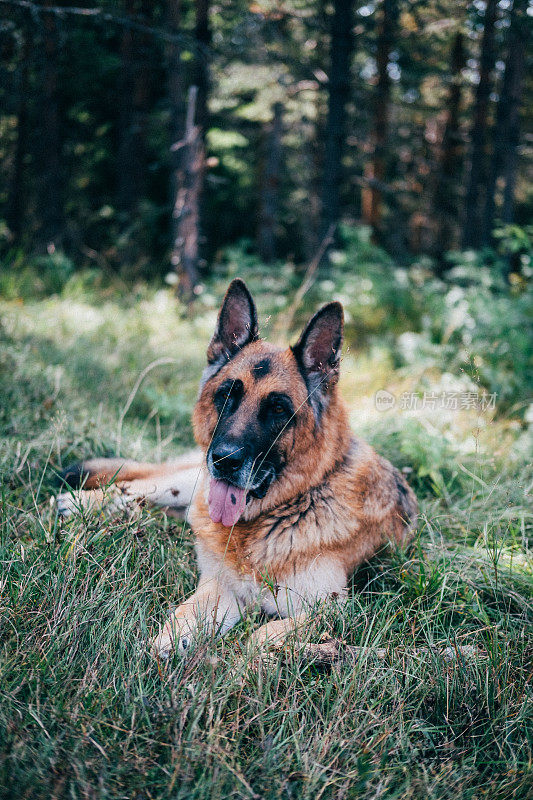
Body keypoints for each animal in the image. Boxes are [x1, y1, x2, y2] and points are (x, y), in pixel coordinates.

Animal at [57, 282, 416, 656]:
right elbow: (184, 615)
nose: (224, 460)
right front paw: (168, 646)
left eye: (278, 409)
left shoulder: (333, 607)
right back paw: (83, 502)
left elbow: (259, 638)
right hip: (188, 483)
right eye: (227, 394)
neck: (279, 512)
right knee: (135, 487)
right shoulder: (222, 587)